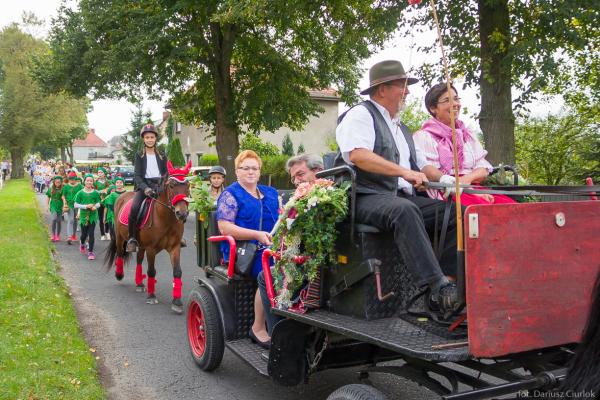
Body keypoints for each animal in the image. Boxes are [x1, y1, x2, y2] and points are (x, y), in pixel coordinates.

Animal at [104, 161, 191, 314]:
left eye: (188, 185)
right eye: (172, 185)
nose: (182, 214)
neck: (165, 219)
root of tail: (122, 196)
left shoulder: (175, 247)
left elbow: (177, 272)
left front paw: (177, 302)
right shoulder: (151, 249)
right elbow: (151, 271)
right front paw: (151, 296)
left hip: (141, 245)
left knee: (139, 259)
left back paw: (139, 283)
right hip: (121, 238)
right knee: (120, 254)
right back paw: (119, 275)